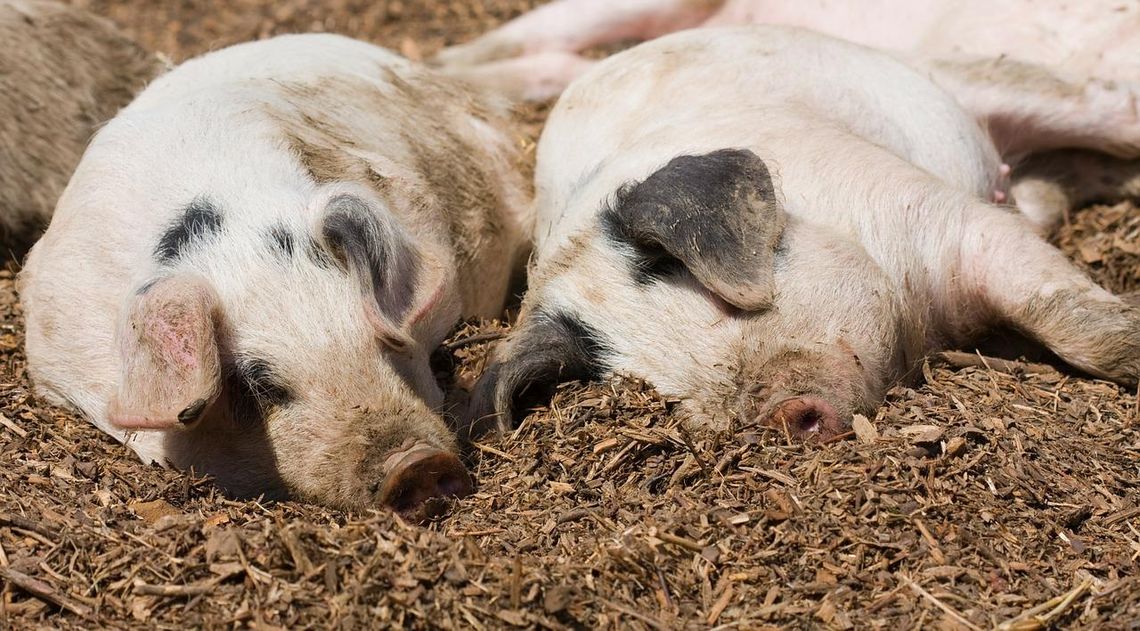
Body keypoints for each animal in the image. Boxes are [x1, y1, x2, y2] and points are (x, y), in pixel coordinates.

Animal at [462, 27, 1140, 439]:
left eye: (724, 307)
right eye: (661, 391)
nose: (784, 415)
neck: (927, 326)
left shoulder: (941, 216)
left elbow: (1068, 317)